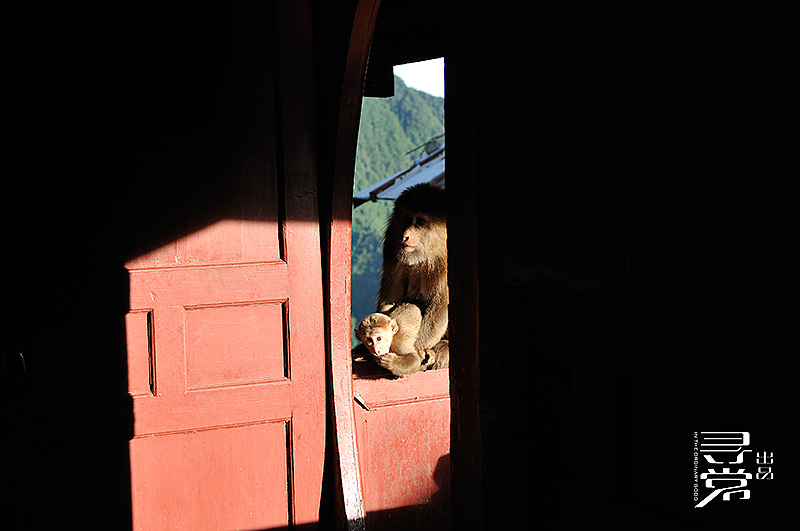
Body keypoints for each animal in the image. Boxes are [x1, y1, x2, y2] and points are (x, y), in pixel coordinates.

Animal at [374, 183, 446, 378]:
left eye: (420, 221)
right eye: (407, 217)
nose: (405, 235)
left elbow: (441, 305)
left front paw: (417, 348)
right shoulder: (392, 243)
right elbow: (391, 298)